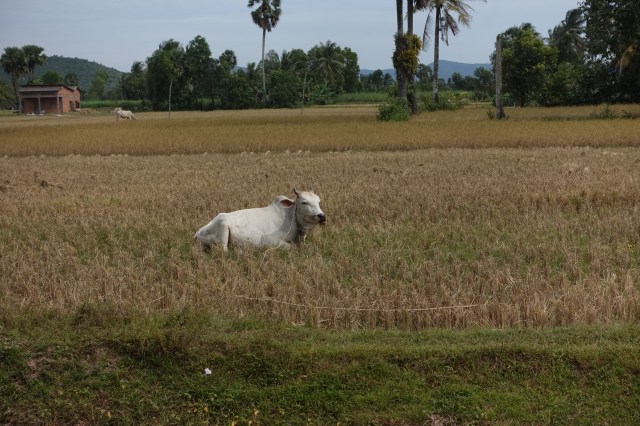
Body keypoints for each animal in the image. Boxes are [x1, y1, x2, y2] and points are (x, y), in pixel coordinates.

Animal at [194, 188, 326, 252]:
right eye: (304, 202)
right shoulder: (268, 239)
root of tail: (198, 233)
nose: (322, 216)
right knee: (225, 251)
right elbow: (291, 248)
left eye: (318, 201)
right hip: (223, 226)